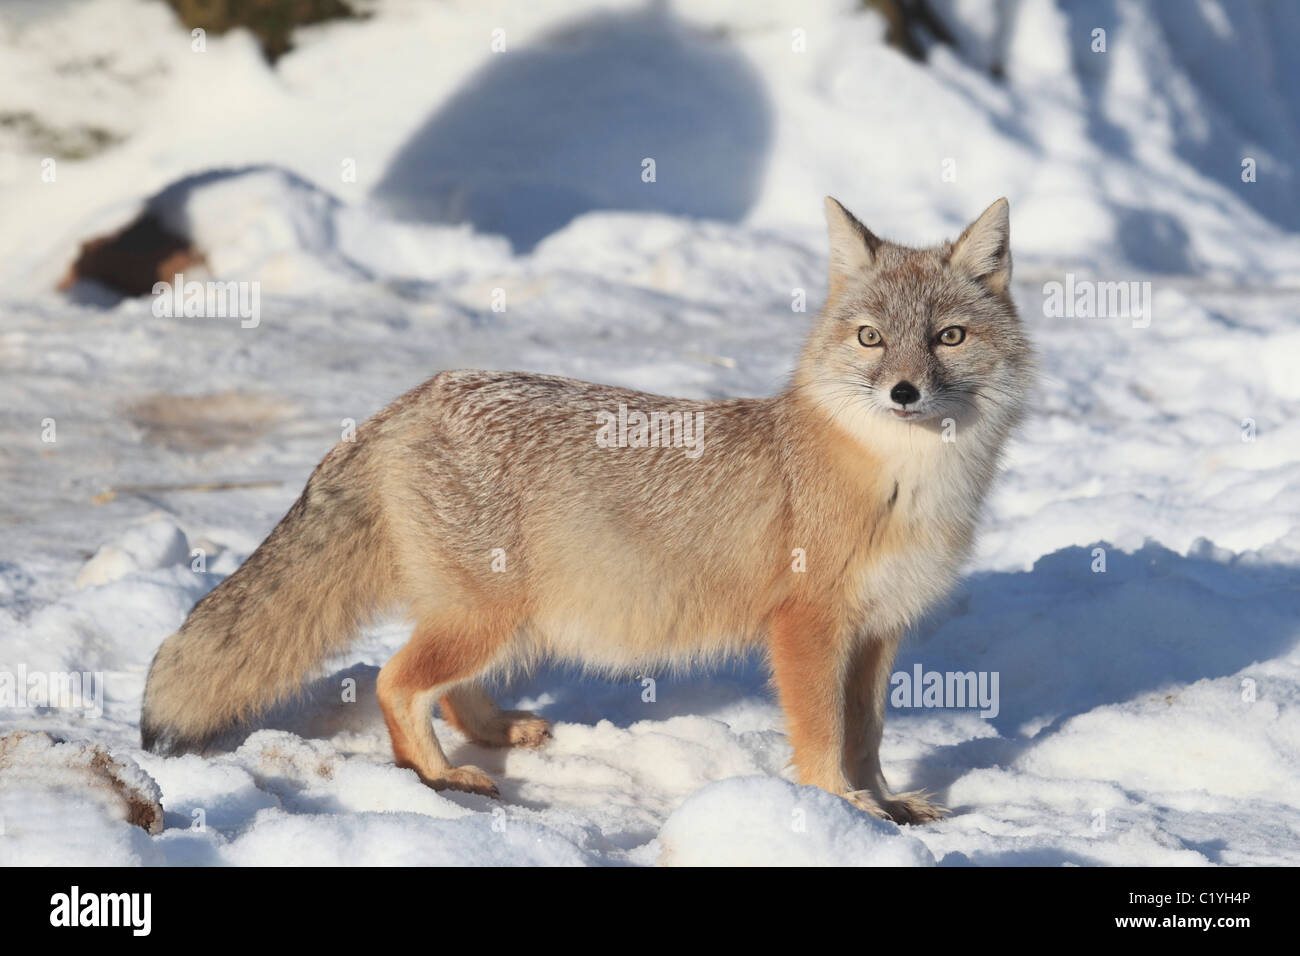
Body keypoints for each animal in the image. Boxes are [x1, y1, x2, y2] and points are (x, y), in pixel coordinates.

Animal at [142, 196, 1029, 822]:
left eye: (948, 337)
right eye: (872, 339)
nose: (903, 392)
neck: (908, 485)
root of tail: (417, 395)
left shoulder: (878, 631)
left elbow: (867, 736)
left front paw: (884, 805)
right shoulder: (809, 628)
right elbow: (824, 738)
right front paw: (841, 811)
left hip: (503, 622)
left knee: (446, 688)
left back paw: (495, 734)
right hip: (488, 617)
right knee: (396, 681)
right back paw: (437, 774)